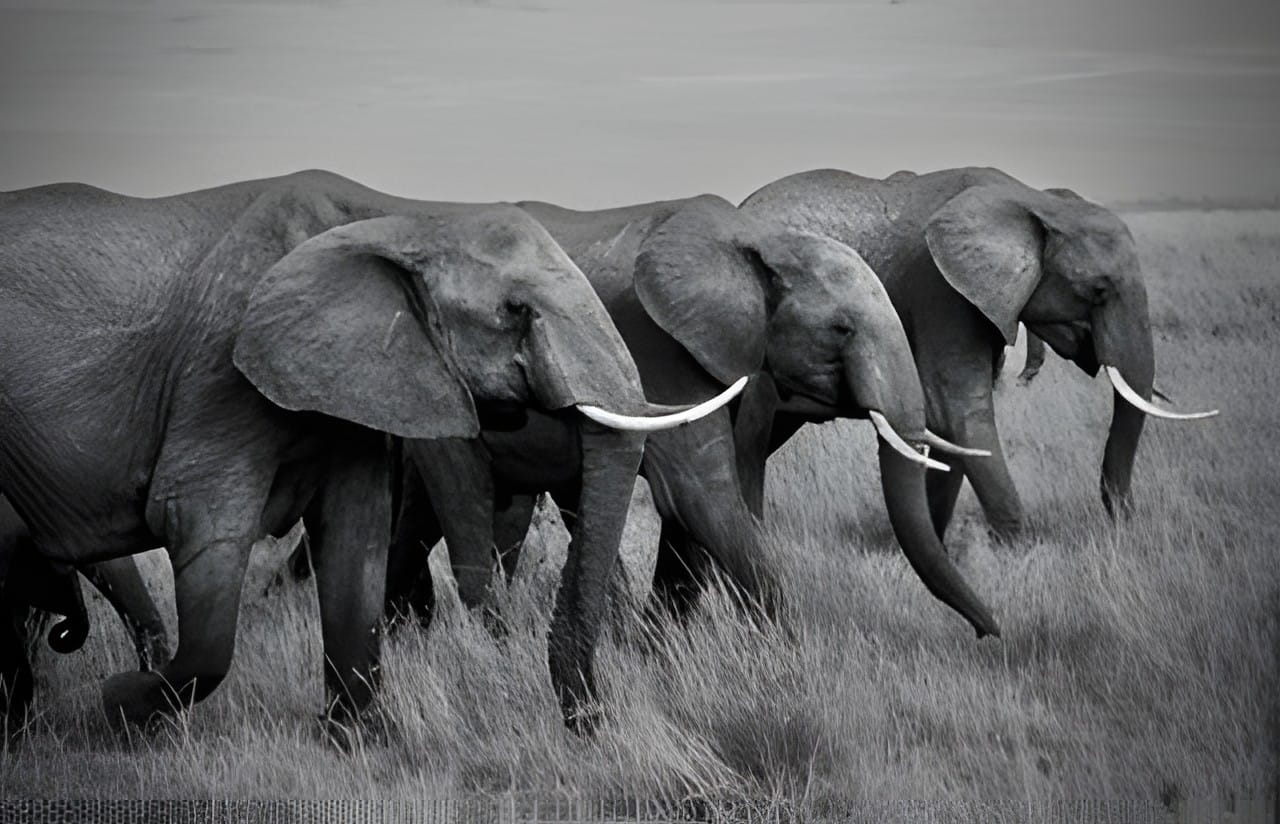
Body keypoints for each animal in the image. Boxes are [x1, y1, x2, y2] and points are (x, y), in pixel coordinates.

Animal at [0, 170, 738, 736]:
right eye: (515, 311)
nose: (586, 721)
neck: (406, 215)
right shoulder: (217, 378)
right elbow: (202, 536)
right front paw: (118, 705)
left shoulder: (359, 378)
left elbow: (355, 538)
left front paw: (357, 739)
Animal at [378, 194, 1001, 640]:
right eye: (842, 329)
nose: (987, 634)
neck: (757, 241)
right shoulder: (658, 345)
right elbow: (700, 496)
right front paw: (787, 659)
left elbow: (706, 506)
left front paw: (662, 646)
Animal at [739, 168, 1217, 540]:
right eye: (1099, 290)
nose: (1124, 517)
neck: (1032, 200)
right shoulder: (940, 290)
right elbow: (956, 411)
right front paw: (1020, 548)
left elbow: (943, 425)